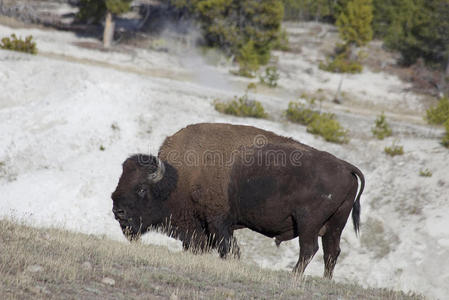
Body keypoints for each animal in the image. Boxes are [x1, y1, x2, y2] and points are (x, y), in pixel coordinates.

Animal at [111, 122, 364, 278]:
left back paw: (294, 276)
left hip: (308, 223)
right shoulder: (201, 228)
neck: (177, 177)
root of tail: (346, 167)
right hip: (335, 225)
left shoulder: (217, 222)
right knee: (331, 252)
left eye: (141, 188)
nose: (117, 211)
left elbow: (228, 249)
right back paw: (325, 279)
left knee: (309, 248)